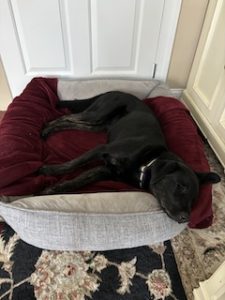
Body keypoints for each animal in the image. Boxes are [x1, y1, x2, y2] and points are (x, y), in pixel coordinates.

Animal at [39, 91, 221, 223]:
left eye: (194, 199)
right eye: (180, 186)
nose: (186, 219)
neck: (147, 162)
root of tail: (114, 91)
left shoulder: (106, 171)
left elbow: (80, 179)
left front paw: (55, 189)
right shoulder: (101, 149)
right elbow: (74, 163)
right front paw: (49, 171)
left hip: (98, 125)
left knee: (73, 123)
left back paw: (51, 129)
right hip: (97, 114)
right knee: (66, 117)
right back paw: (47, 128)